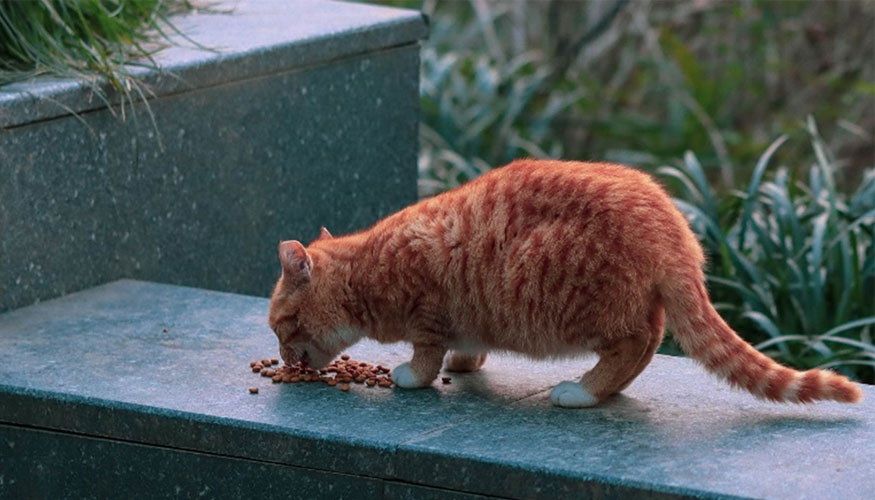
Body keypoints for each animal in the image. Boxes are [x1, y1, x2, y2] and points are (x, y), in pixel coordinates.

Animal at [268, 159, 864, 406]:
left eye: (280, 326)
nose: (280, 355)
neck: (369, 268)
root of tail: (672, 229)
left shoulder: (427, 315)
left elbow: (425, 357)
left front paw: (412, 377)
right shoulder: (464, 320)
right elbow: (467, 347)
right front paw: (468, 363)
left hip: (582, 305)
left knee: (637, 343)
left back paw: (585, 392)